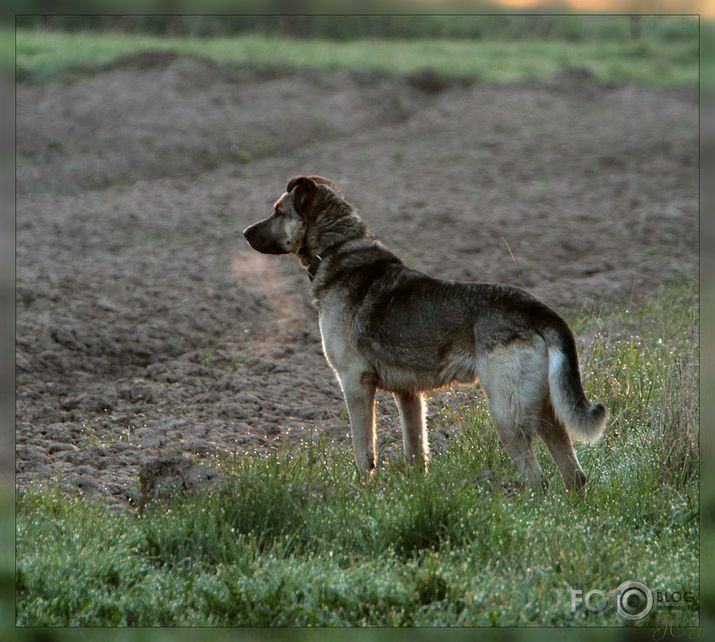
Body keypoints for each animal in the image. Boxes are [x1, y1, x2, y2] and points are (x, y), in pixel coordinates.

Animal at [243, 172, 608, 488]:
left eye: (278, 211)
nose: (245, 232)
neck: (338, 248)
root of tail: (538, 311)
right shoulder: (409, 394)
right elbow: (416, 449)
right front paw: (417, 491)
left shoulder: (355, 382)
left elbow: (363, 449)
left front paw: (361, 489)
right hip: (544, 408)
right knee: (574, 475)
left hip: (507, 412)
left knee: (538, 479)